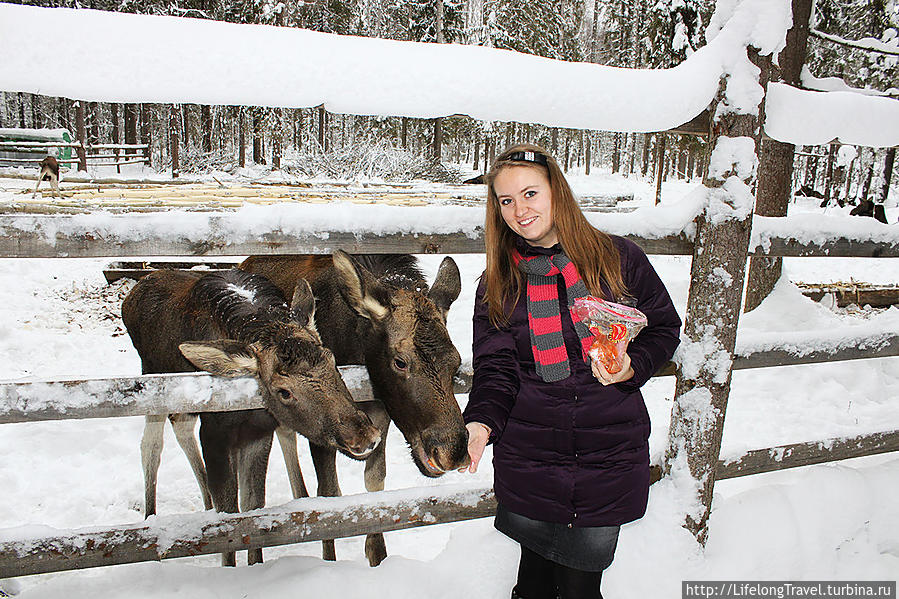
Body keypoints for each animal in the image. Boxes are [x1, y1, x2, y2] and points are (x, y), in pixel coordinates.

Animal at [121, 268, 382, 568]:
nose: (365, 436)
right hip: (152, 381)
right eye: (283, 391)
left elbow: (253, 505)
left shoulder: (259, 432)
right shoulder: (214, 433)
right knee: (151, 445)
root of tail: (130, 295)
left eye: (331, 359)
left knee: (182, 426)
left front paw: (255, 563)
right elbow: (229, 514)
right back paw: (150, 517)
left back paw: (206, 502)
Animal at [241, 250, 472, 568]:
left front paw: (377, 556)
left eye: (456, 360)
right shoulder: (322, 430)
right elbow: (329, 497)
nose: (452, 450)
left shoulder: (380, 417)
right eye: (400, 361)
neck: (352, 348)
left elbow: (374, 483)